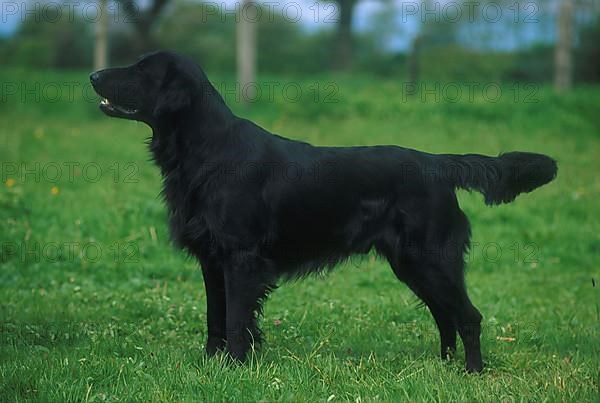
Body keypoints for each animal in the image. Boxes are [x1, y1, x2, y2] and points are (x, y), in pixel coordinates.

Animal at [90, 50, 556, 372]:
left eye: (141, 70)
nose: (94, 75)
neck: (207, 151)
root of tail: (436, 163)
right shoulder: (212, 260)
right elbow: (215, 318)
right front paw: (211, 364)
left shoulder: (241, 259)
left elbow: (237, 320)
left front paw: (235, 368)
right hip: (412, 265)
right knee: (446, 316)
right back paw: (443, 365)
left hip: (432, 259)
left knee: (468, 316)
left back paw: (472, 372)